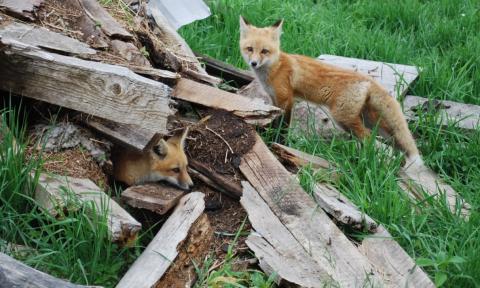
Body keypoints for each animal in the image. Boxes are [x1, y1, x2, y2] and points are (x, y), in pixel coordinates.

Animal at [240, 16, 424, 166]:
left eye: (264, 51)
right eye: (250, 49)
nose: (253, 63)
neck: (274, 67)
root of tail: (368, 79)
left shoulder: (287, 100)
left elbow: (283, 127)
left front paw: (279, 142)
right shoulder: (274, 99)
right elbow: (274, 120)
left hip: (343, 118)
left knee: (370, 138)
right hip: (368, 119)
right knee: (393, 140)